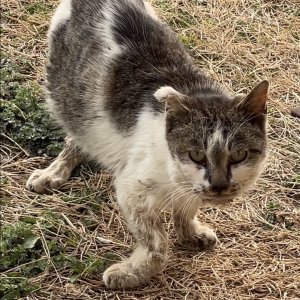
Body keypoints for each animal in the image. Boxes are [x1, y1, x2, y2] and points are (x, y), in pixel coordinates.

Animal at [27, 0, 268, 290]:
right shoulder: (132, 190)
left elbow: (186, 208)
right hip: (67, 94)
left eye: (239, 155)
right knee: (76, 132)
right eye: (196, 155)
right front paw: (131, 273)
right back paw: (54, 171)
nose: (219, 185)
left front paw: (189, 232)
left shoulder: (187, 188)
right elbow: (156, 244)